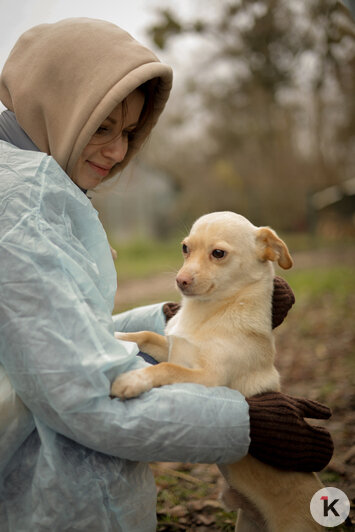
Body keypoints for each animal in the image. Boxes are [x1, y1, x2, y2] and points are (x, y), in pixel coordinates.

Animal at [112, 213, 326, 532]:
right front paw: (114, 335)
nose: (180, 280)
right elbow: (146, 335)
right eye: (185, 248)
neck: (208, 313)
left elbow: (166, 367)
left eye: (218, 253)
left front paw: (132, 379)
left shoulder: (207, 378)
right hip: (247, 524)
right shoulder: (171, 346)